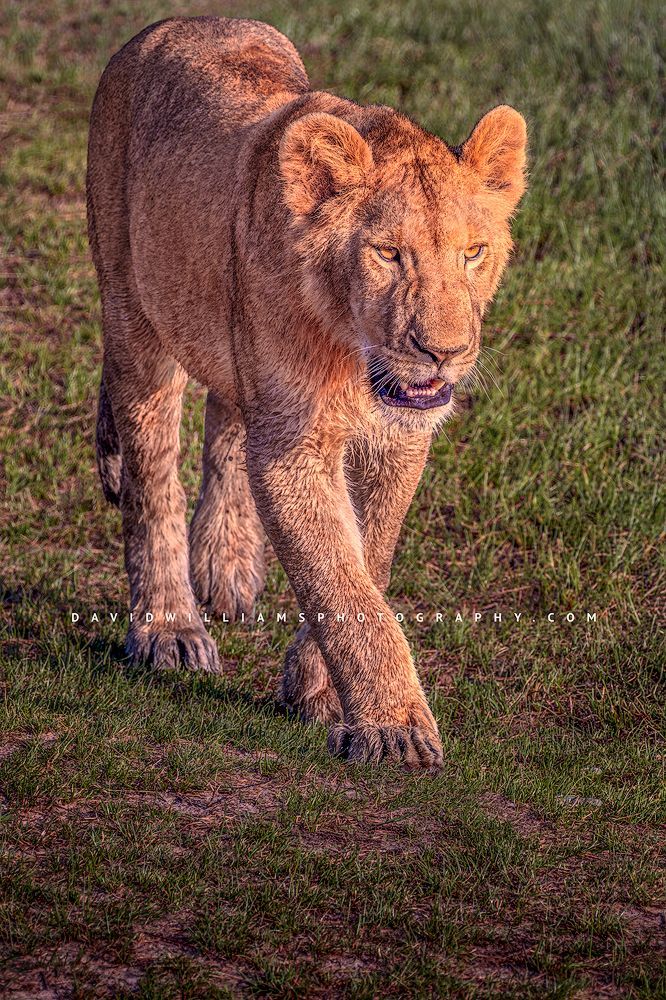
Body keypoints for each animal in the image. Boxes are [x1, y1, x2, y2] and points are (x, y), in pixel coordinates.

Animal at [87, 16, 527, 768]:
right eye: (388, 254)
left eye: (473, 252)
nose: (442, 353)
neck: (355, 353)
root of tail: (172, 24)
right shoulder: (294, 444)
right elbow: (339, 577)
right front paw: (394, 726)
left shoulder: (400, 437)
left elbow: (367, 558)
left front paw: (317, 689)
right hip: (133, 311)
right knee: (151, 471)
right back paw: (169, 628)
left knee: (227, 417)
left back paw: (225, 565)